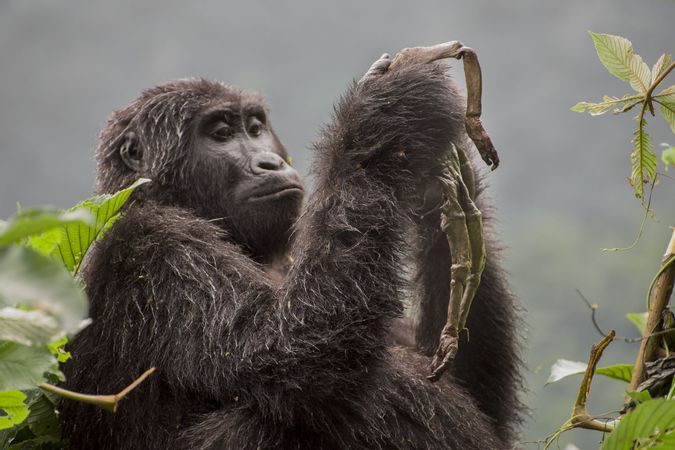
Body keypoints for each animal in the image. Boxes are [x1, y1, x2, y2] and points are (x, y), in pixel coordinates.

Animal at [60, 47, 524, 448]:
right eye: (221, 134)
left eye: (255, 129)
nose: (270, 162)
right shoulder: (156, 245)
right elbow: (287, 357)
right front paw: (387, 115)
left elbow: (461, 382)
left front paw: (437, 178)